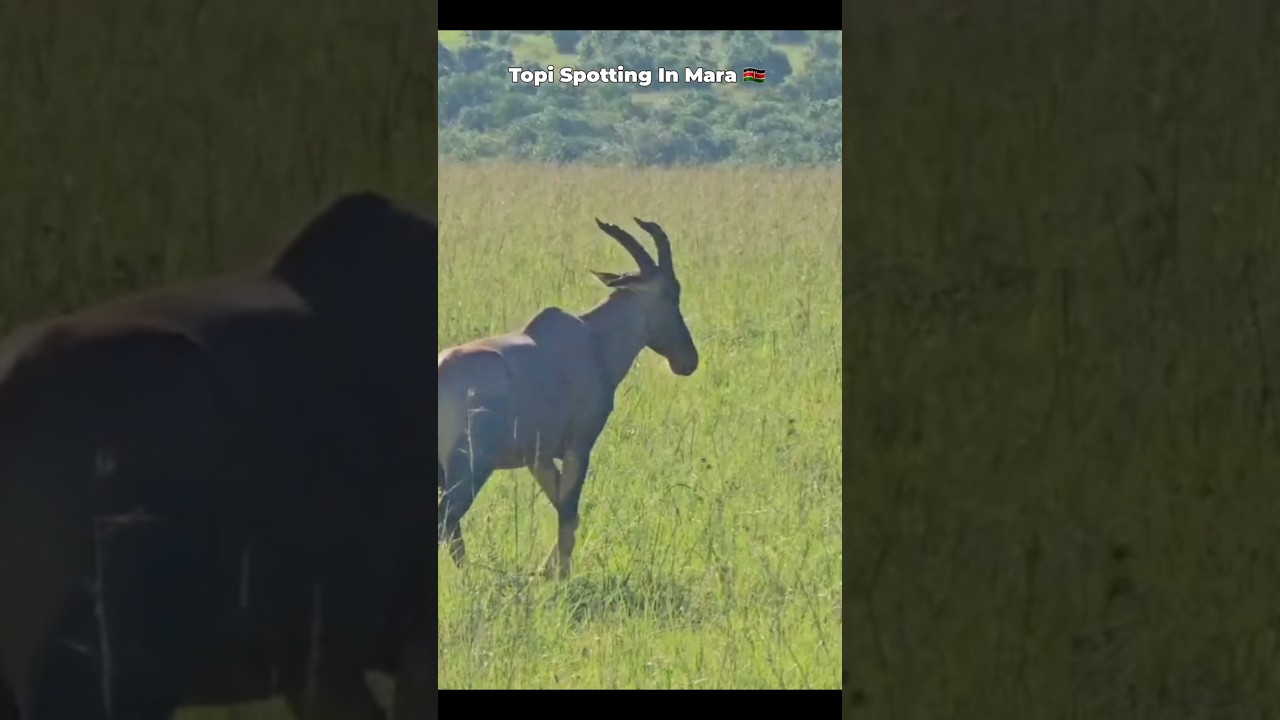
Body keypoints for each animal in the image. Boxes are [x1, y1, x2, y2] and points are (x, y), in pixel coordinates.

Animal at [437, 217, 699, 579]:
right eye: (672, 293)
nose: (688, 361)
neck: (590, 338)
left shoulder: (539, 458)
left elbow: (562, 507)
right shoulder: (578, 447)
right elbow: (570, 514)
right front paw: (560, 576)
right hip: (469, 468)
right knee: (448, 522)